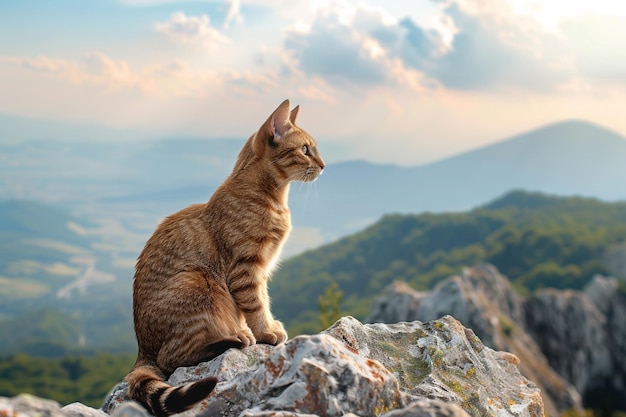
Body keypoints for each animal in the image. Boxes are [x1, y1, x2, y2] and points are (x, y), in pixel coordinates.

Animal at [123, 99, 324, 414]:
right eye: (305, 149)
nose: (323, 165)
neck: (273, 198)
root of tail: (142, 350)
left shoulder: (261, 271)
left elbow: (261, 301)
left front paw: (267, 326)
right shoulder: (247, 269)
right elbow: (256, 305)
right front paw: (266, 331)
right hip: (198, 282)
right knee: (171, 358)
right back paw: (233, 339)